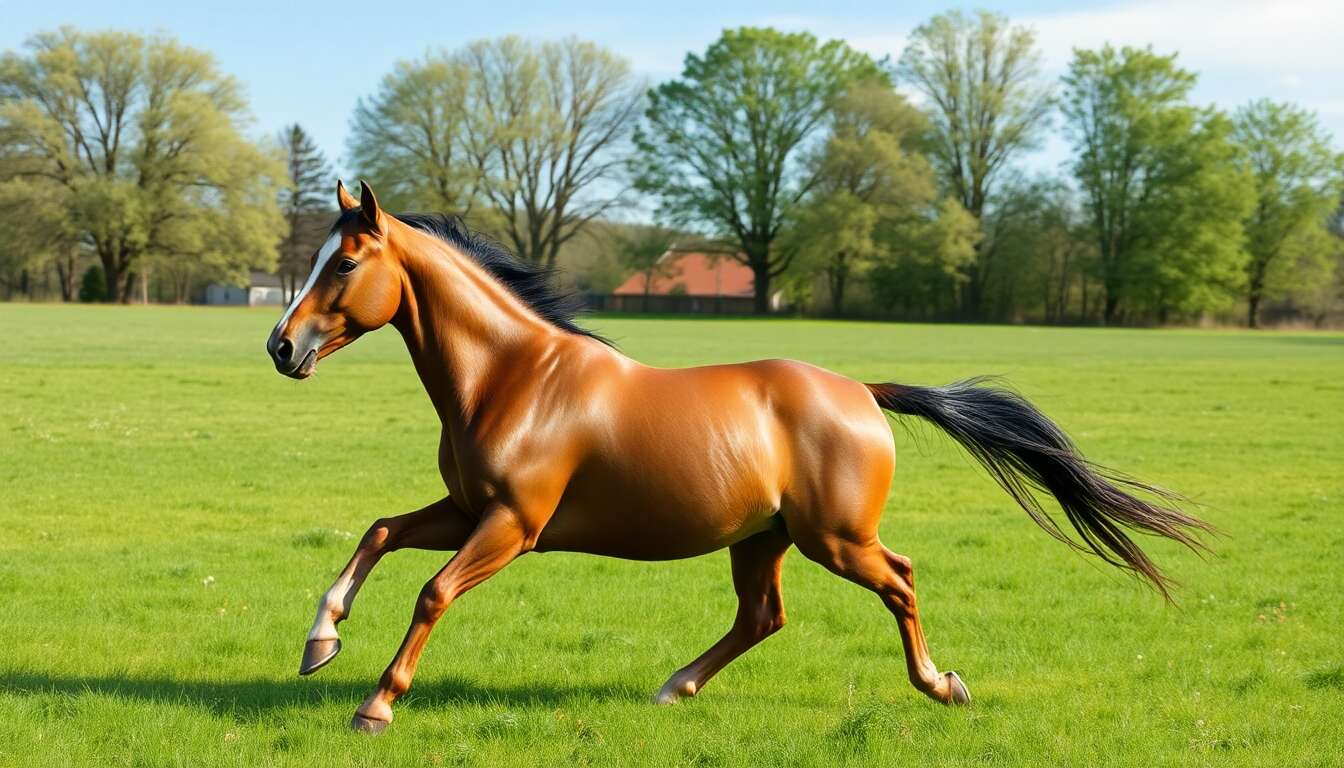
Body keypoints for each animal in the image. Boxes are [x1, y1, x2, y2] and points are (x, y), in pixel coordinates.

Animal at [266, 181, 1210, 733]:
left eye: (344, 263)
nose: (280, 347)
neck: (515, 378)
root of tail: (863, 392)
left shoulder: (512, 524)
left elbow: (431, 592)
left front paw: (375, 704)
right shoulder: (467, 508)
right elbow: (380, 531)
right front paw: (321, 641)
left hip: (836, 539)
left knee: (899, 580)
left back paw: (940, 685)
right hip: (763, 538)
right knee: (764, 617)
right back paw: (675, 688)